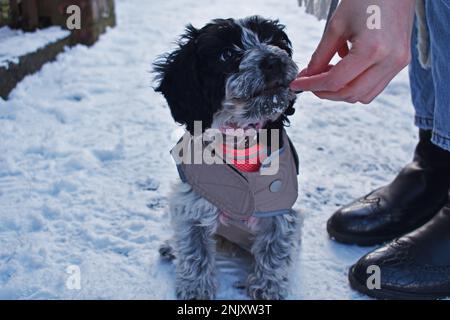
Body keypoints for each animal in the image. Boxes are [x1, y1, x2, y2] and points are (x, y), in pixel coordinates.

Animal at [154, 15, 298, 300]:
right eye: (227, 54)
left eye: (273, 41)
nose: (273, 60)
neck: (241, 140)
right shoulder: (192, 203)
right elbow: (195, 250)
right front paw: (196, 289)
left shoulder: (279, 206)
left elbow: (274, 250)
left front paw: (268, 287)